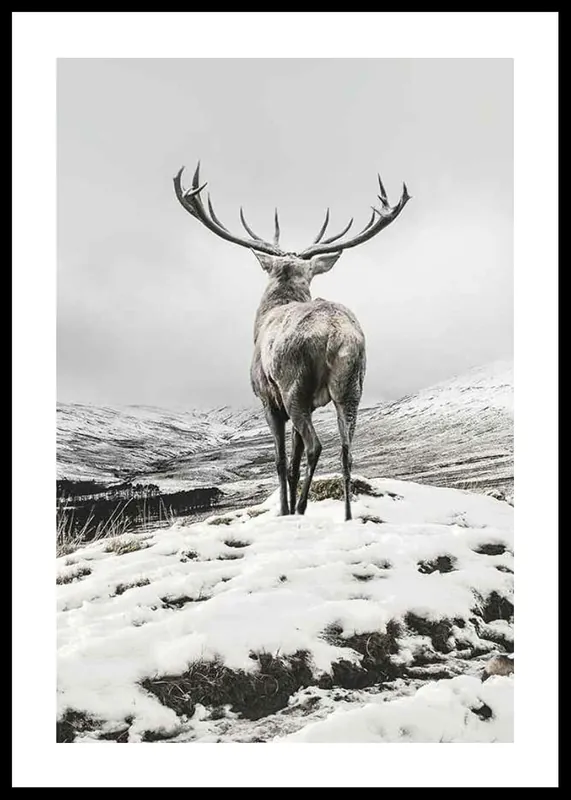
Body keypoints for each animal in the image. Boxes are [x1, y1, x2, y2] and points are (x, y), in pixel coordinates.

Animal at [174, 163, 410, 521]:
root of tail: (335, 333)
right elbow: (294, 463)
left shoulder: (268, 399)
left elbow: (282, 460)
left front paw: (283, 510)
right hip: (352, 385)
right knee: (346, 451)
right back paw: (346, 516)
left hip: (293, 385)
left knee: (316, 446)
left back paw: (299, 509)